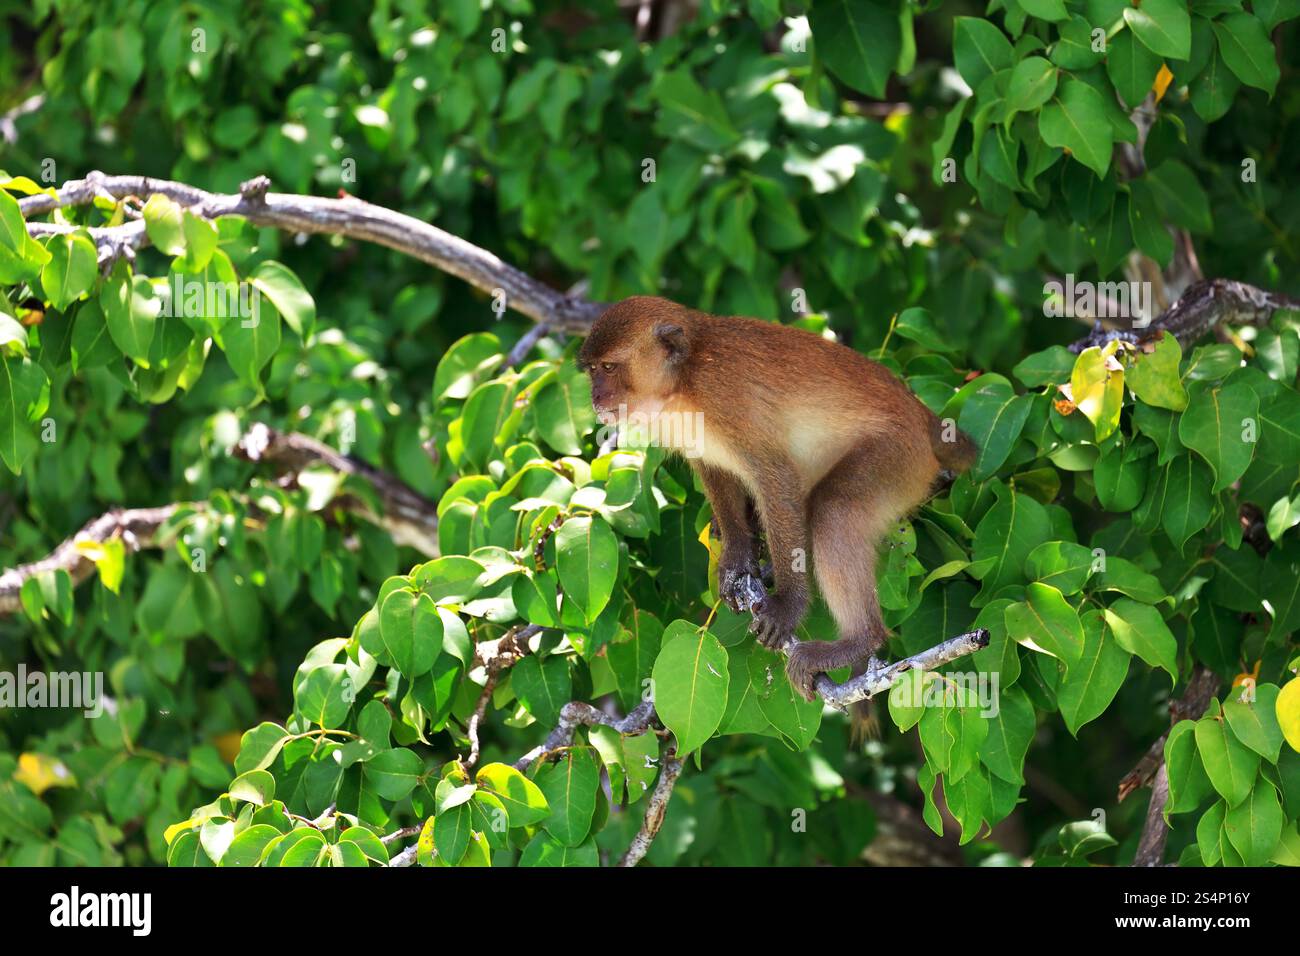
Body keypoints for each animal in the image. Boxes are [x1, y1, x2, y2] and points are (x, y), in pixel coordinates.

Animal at [577, 295, 978, 724]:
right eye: (592, 371)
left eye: (608, 368)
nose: (596, 396)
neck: (683, 383)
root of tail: (922, 416)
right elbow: (713, 469)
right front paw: (738, 555)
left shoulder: (724, 395)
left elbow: (777, 476)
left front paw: (788, 605)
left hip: (900, 458)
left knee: (833, 508)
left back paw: (861, 639)